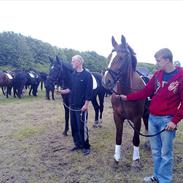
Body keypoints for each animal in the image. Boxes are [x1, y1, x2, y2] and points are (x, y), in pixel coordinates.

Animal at [102, 35, 149, 169]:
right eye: (109, 57)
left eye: (121, 58)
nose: (106, 81)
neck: (125, 93)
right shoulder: (117, 117)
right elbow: (118, 138)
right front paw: (116, 160)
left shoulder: (137, 118)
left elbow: (136, 139)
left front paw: (136, 161)